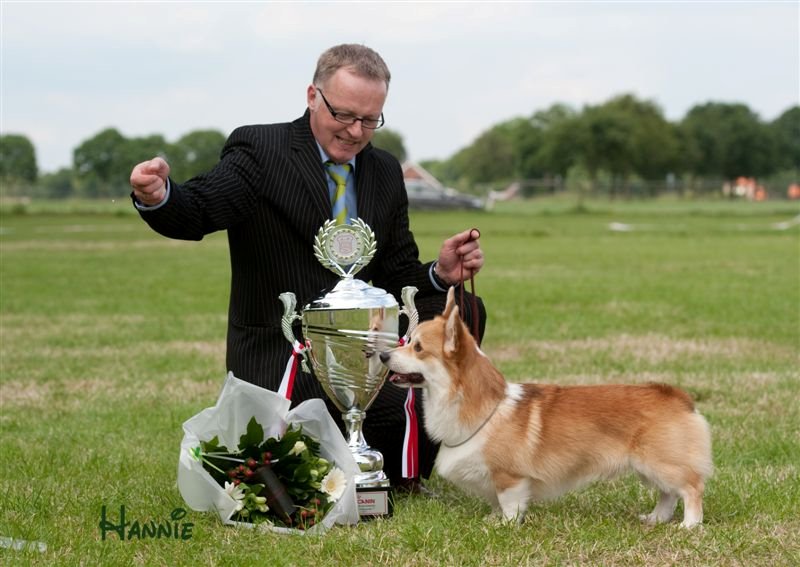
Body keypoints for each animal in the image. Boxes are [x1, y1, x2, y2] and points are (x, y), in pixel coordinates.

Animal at [382, 288, 712, 528]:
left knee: (690, 488)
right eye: (409, 341)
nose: (383, 356)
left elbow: (509, 503)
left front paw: (505, 525)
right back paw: (656, 519)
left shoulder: (510, 478)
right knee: (667, 494)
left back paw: (689, 525)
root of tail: (678, 396)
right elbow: (495, 502)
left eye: (418, 348)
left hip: (661, 463)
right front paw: (492, 519)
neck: (483, 408)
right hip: (648, 467)